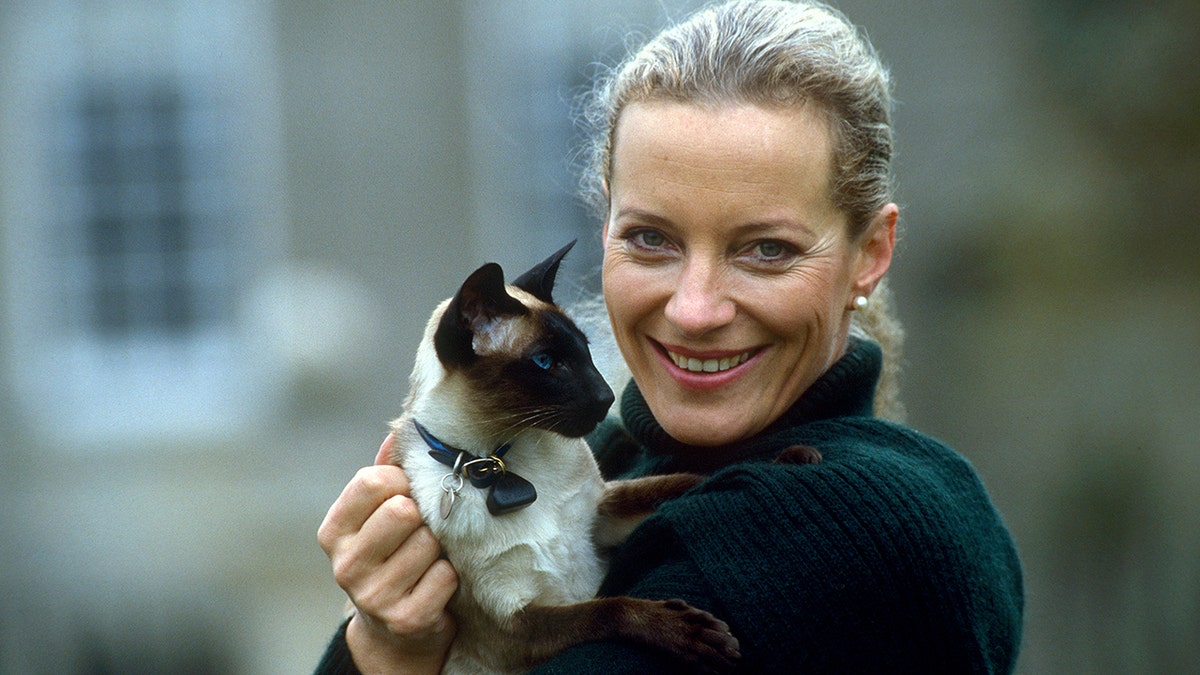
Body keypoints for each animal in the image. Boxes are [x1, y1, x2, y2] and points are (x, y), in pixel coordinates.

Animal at [388, 242, 734, 672]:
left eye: (586, 351)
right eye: (545, 362)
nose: (606, 397)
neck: (498, 461)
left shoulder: (600, 516)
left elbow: (681, 483)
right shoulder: (514, 627)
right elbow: (609, 610)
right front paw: (686, 630)